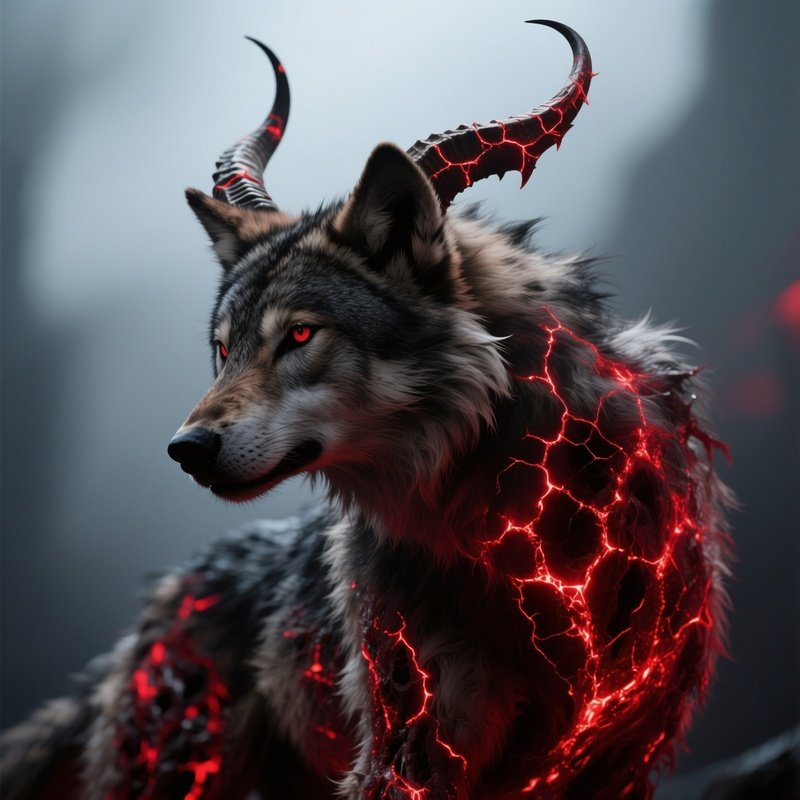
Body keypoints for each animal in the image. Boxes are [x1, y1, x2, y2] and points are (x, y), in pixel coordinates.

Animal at [1, 21, 731, 800]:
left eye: (298, 335)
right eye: (224, 349)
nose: (185, 449)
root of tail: (157, 601)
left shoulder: (621, 753)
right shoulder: (407, 754)